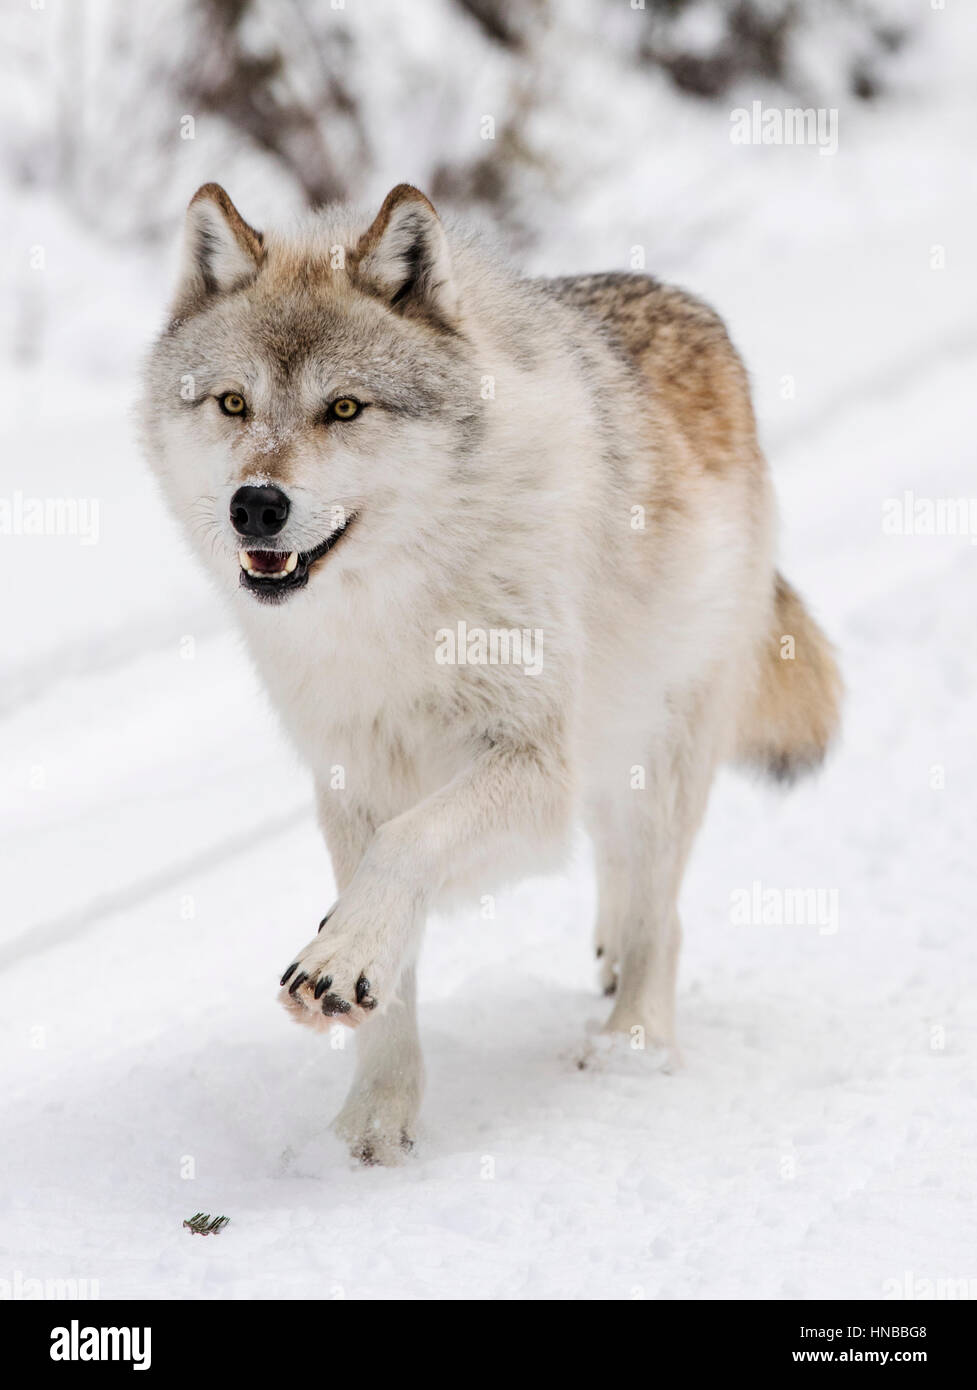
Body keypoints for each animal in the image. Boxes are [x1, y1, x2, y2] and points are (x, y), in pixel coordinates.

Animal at [142, 182, 841, 1164]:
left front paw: (339, 960)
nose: (256, 505)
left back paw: (631, 1046)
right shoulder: (351, 778)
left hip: (663, 747)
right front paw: (375, 1119)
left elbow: (406, 852)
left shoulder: (532, 767)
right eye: (234, 404)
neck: (390, 611)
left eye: (345, 410)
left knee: (659, 911)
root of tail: (698, 315)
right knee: (626, 878)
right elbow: (390, 955)